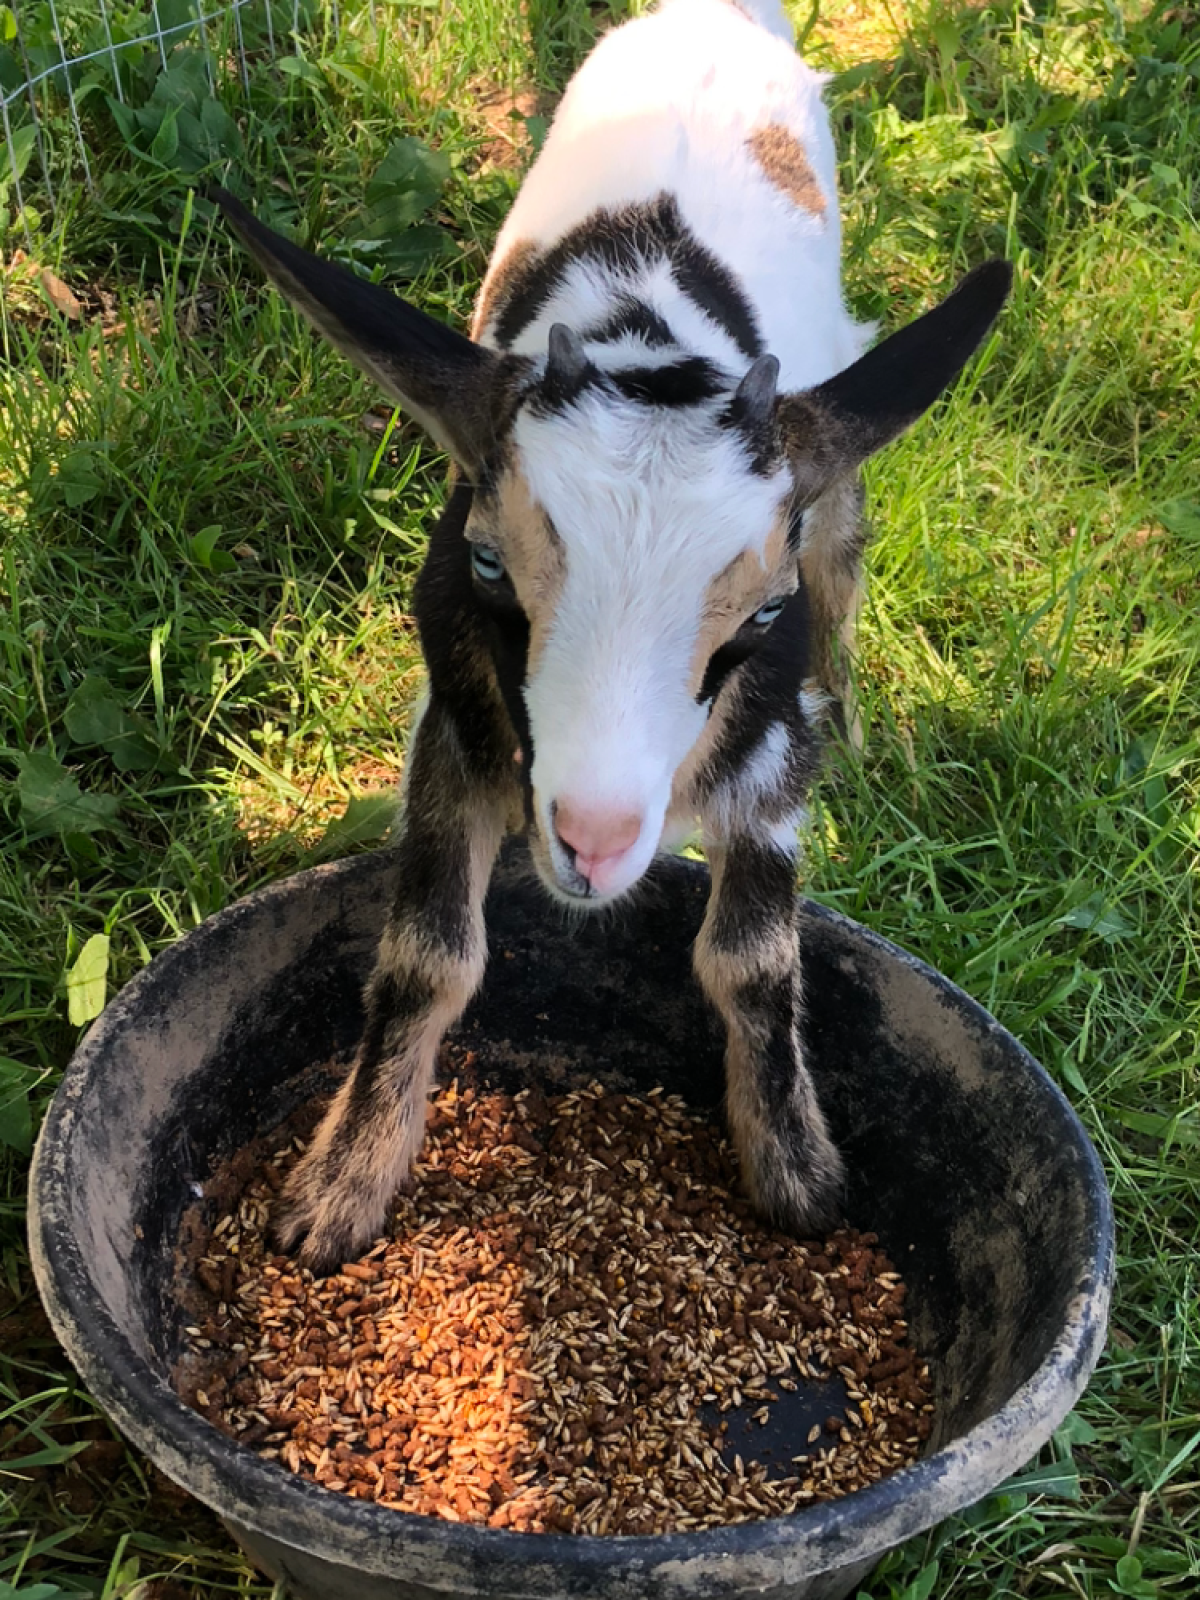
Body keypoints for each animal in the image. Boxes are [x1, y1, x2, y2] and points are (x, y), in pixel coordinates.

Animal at [215, 0, 1011, 1273]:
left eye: (763, 610)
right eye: (491, 563)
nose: (592, 839)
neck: (649, 337)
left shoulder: (772, 742)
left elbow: (753, 958)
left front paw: (796, 1173)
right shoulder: (457, 708)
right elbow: (427, 953)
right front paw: (341, 1188)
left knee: (847, 531)